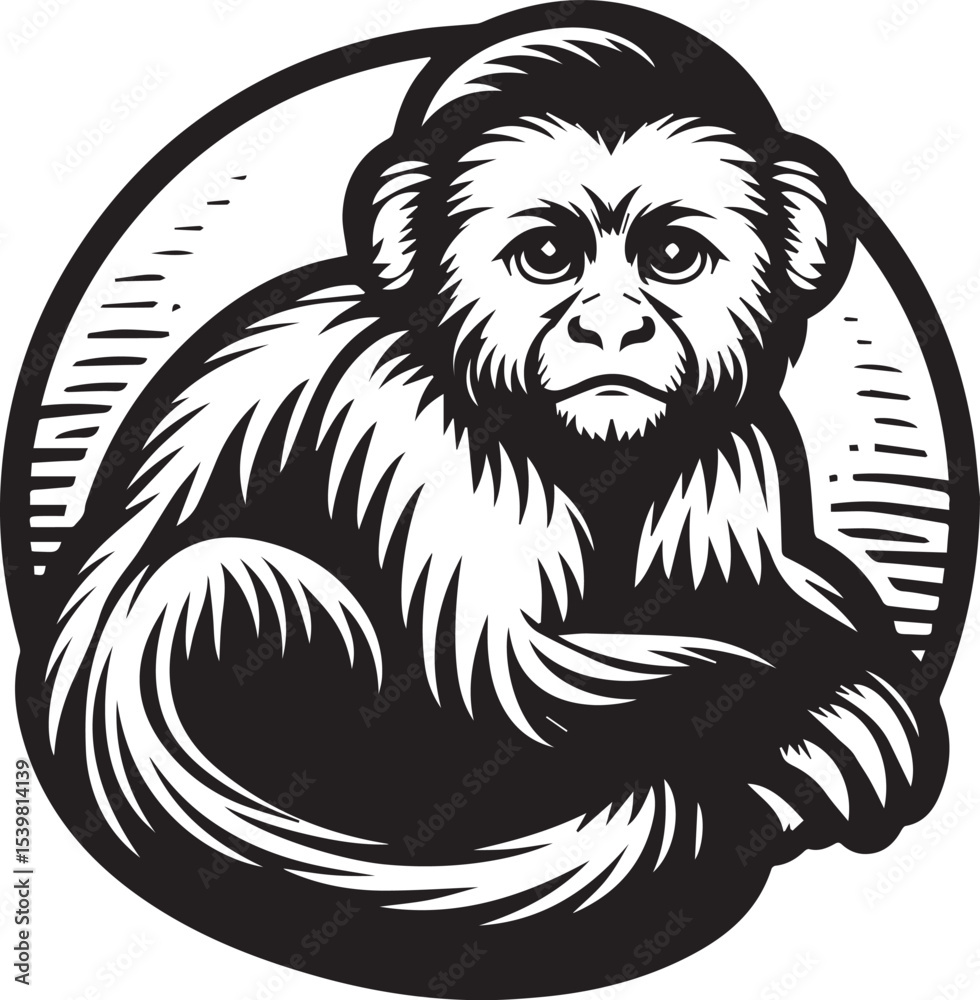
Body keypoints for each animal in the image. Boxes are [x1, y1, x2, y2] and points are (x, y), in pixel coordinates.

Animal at [23, 7, 950, 997]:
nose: (611, 327)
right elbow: (508, 676)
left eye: (671, 256)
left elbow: (750, 593)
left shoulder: (734, 448)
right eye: (547, 256)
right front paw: (813, 707)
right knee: (231, 578)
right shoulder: (412, 425)